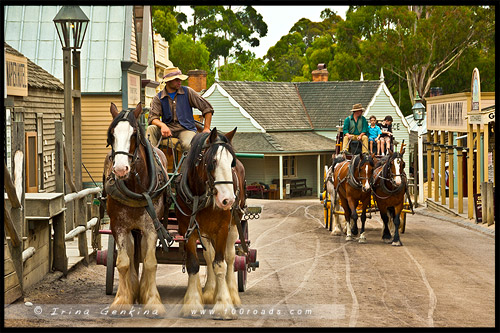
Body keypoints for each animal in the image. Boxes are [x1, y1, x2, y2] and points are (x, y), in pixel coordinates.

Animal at [102, 102, 169, 316]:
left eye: (133, 135)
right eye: (112, 134)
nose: (120, 169)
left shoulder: (151, 227)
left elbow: (150, 262)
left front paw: (152, 300)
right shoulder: (119, 227)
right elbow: (124, 262)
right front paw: (122, 300)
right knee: (132, 256)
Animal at [175, 127, 247, 320]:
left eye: (231, 163)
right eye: (212, 162)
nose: (228, 200)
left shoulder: (222, 229)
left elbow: (220, 265)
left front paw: (224, 305)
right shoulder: (188, 229)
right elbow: (194, 264)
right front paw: (193, 303)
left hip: (234, 224)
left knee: (230, 257)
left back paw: (232, 294)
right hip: (206, 232)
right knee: (208, 257)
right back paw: (209, 292)